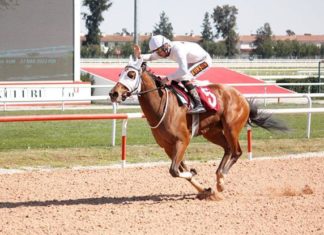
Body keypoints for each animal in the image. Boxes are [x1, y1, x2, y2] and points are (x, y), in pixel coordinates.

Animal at [108, 55, 286, 200]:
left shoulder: (183, 140)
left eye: (131, 75)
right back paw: (218, 178)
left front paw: (196, 175)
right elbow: (180, 170)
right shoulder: (167, 146)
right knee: (228, 149)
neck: (162, 105)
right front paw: (205, 190)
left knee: (236, 152)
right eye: (119, 74)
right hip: (212, 133)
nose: (113, 93)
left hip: (231, 128)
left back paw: (221, 181)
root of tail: (241, 97)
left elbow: (174, 170)